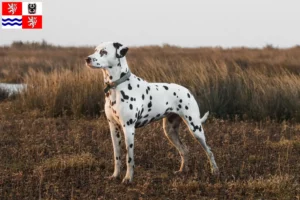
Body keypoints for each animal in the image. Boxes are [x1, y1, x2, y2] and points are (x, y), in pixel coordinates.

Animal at [85, 41, 219, 184]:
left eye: (103, 52)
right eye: (95, 50)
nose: (87, 59)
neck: (117, 87)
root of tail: (187, 91)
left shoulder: (129, 129)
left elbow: (129, 159)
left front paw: (128, 178)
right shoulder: (113, 128)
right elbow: (117, 156)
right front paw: (115, 175)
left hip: (195, 129)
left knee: (209, 151)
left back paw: (215, 171)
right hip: (170, 131)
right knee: (184, 150)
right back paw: (182, 171)